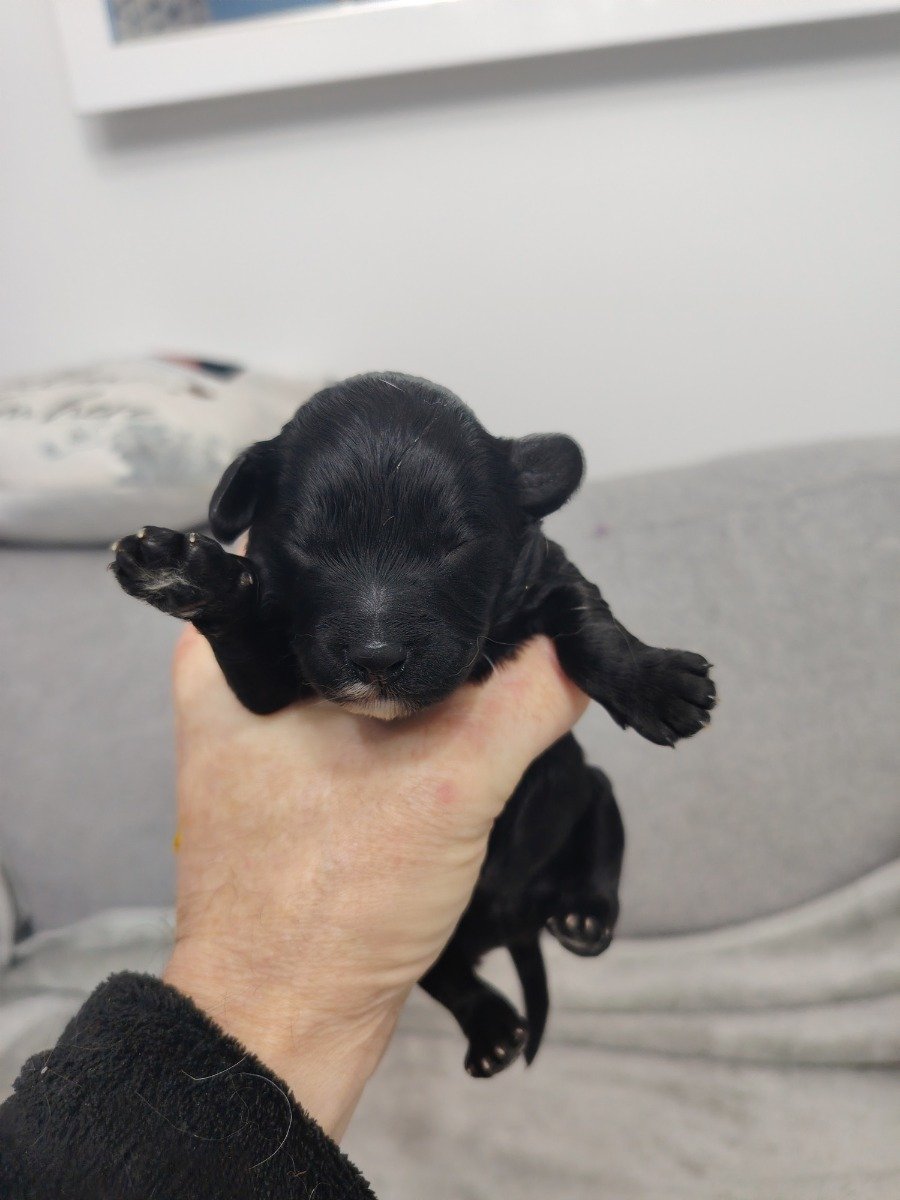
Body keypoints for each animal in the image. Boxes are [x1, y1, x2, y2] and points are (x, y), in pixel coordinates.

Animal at [111, 372, 716, 1077]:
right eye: (307, 544)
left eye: (454, 544)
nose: (376, 656)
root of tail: (518, 919)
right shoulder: (264, 689)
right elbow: (248, 634)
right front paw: (189, 576)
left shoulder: (544, 574)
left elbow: (589, 617)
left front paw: (655, 682)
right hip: (450, 931)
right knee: (446, 974)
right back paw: (492, 1028)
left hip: (580, 785)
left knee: (605, 823)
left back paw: (585, 914)